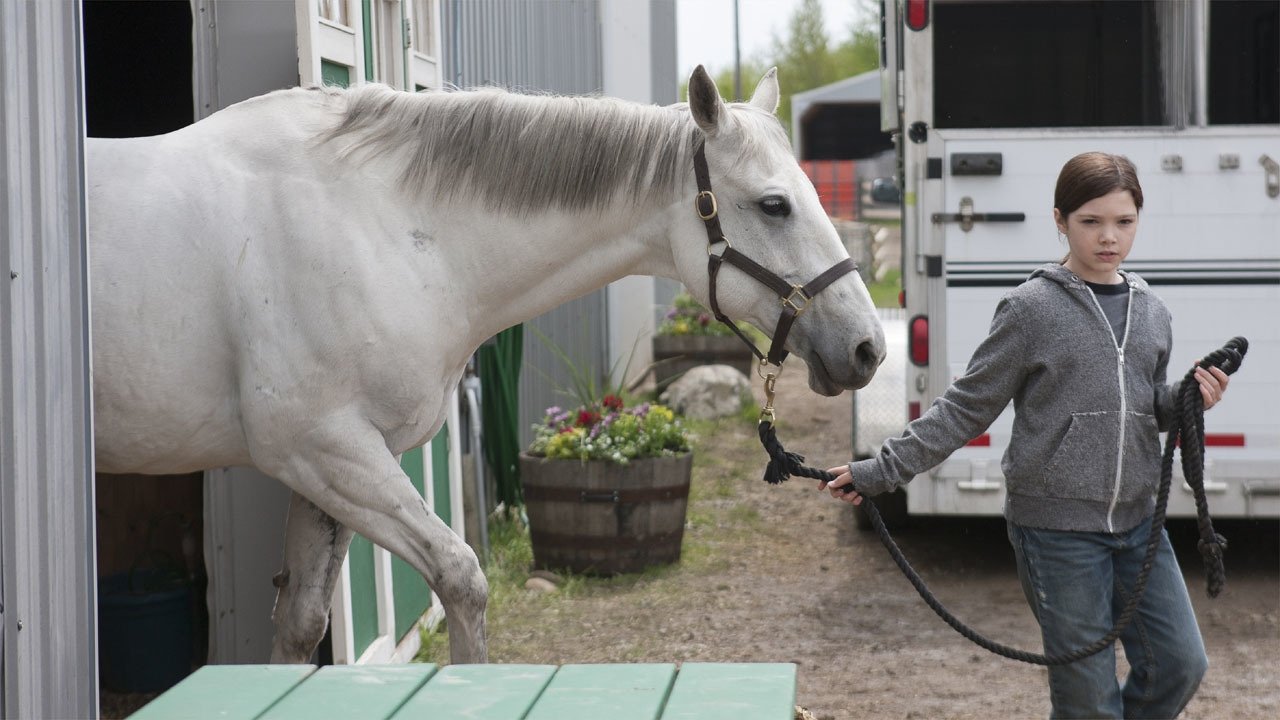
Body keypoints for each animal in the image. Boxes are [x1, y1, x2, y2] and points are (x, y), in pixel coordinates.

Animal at [85, 65, 885, 661]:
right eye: (775, 204)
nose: (867, 347)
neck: (379, 226)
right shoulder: (322, 448)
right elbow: (461, 578)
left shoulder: (328, 465)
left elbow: (302, 621)